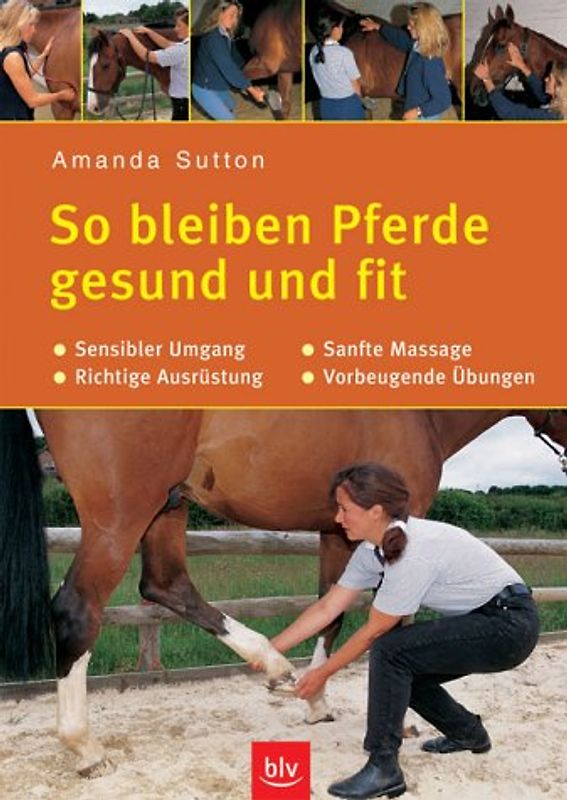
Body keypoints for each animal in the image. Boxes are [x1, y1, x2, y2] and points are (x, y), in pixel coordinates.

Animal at [1, 408, 566, 776]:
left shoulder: (338, 532)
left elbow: (331, 610)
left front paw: (315, 700)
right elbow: (393, 625)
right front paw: (402, 724)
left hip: (168, 503)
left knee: (166, 584)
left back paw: (273, 663)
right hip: (121, 513)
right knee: (78, 610)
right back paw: (86, 748)